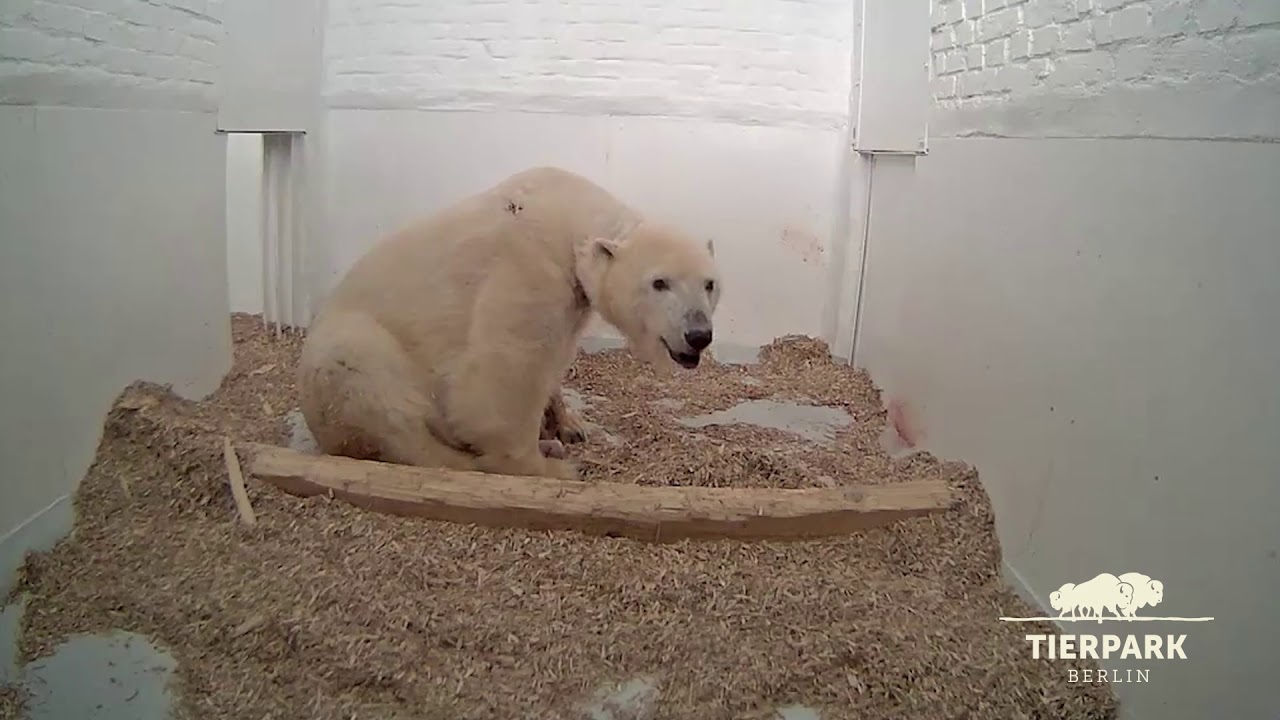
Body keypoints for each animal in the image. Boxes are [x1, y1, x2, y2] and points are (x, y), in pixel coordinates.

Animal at [297, 166, 722, 481]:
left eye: (710, 283)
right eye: (660, 282)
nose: (698, 335)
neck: (567, 215)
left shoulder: (572, 299)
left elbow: (555, 358)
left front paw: (568, 425)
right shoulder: (528, 269)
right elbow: (507, 370)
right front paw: (540, 464)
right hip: (349, 352)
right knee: (383, 403)